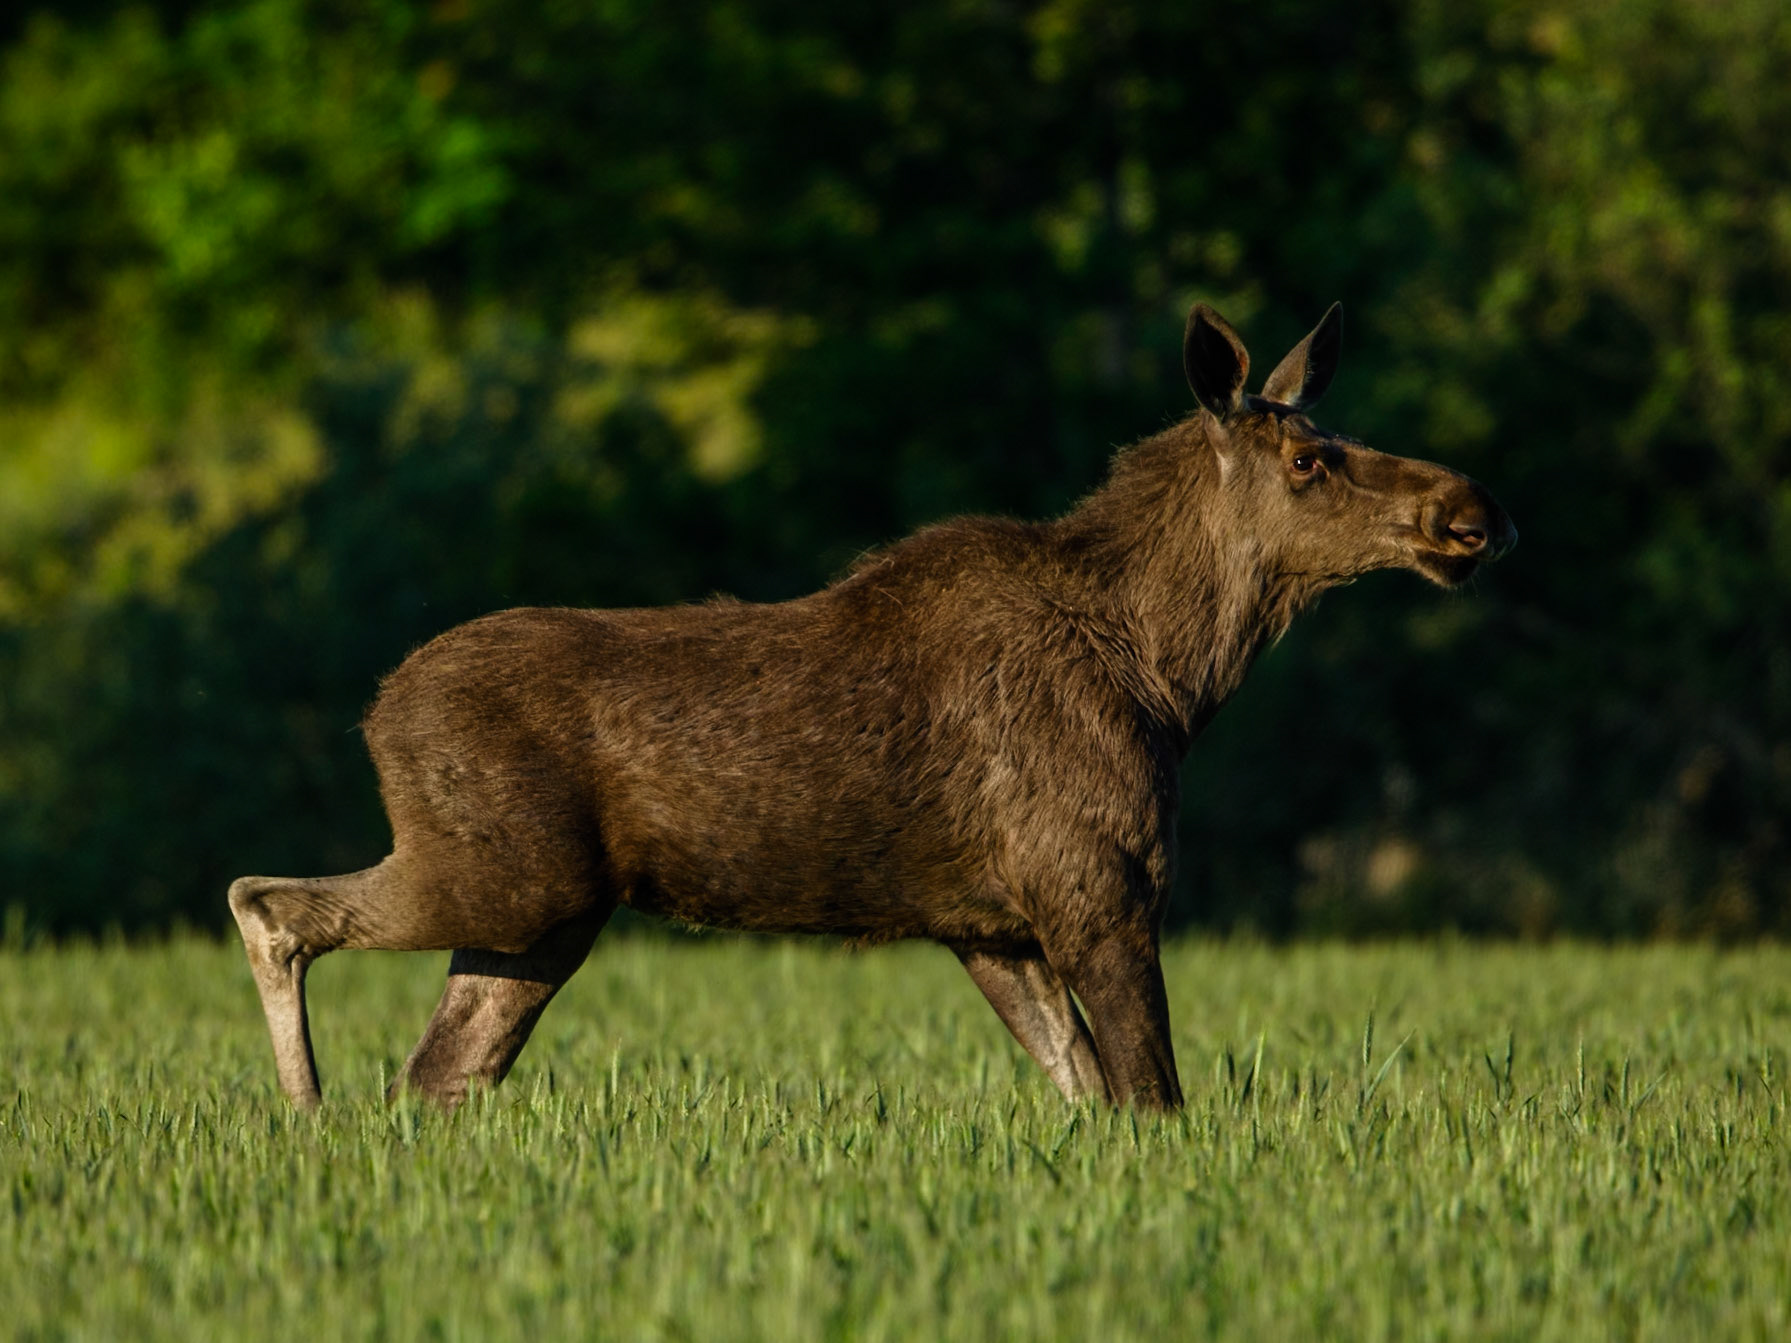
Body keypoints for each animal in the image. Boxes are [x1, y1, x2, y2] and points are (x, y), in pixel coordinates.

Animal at [229, 300, 1514, 1112]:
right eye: (1309, 462)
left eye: (1337, 434)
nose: (1470, 507)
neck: (1173, 674)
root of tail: (376, 713)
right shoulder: (1095, 884)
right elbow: (1155, 1096)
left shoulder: (991, 924)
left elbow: (1088, 1093)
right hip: (506, 869)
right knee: (267, 903)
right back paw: (301, 1111)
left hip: (545, 912)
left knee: (436, 1074)